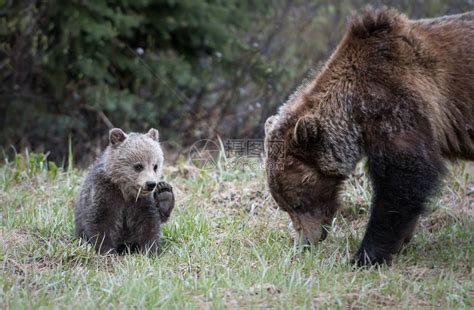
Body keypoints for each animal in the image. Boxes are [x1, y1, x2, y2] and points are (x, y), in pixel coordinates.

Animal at [264, 9, 472, 266]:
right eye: (285, 207)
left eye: (298, 203)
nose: (304, 243)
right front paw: (402, 240)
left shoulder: (396, 102)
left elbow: (404, 176)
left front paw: (365, 255)